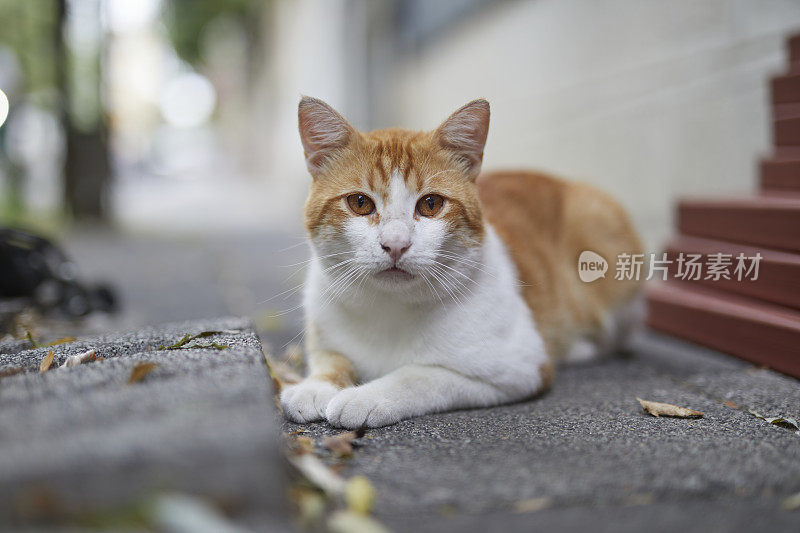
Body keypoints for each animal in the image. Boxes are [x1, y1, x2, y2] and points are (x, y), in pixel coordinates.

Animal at [282, 96, 644, 428]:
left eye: (430, 204)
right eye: (360, 203)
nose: (396, 245)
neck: (391, 308)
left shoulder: (520, 368)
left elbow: (418, 376)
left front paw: (365, 396)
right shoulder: (324, 335)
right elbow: (329, 360)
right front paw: (315, 386)